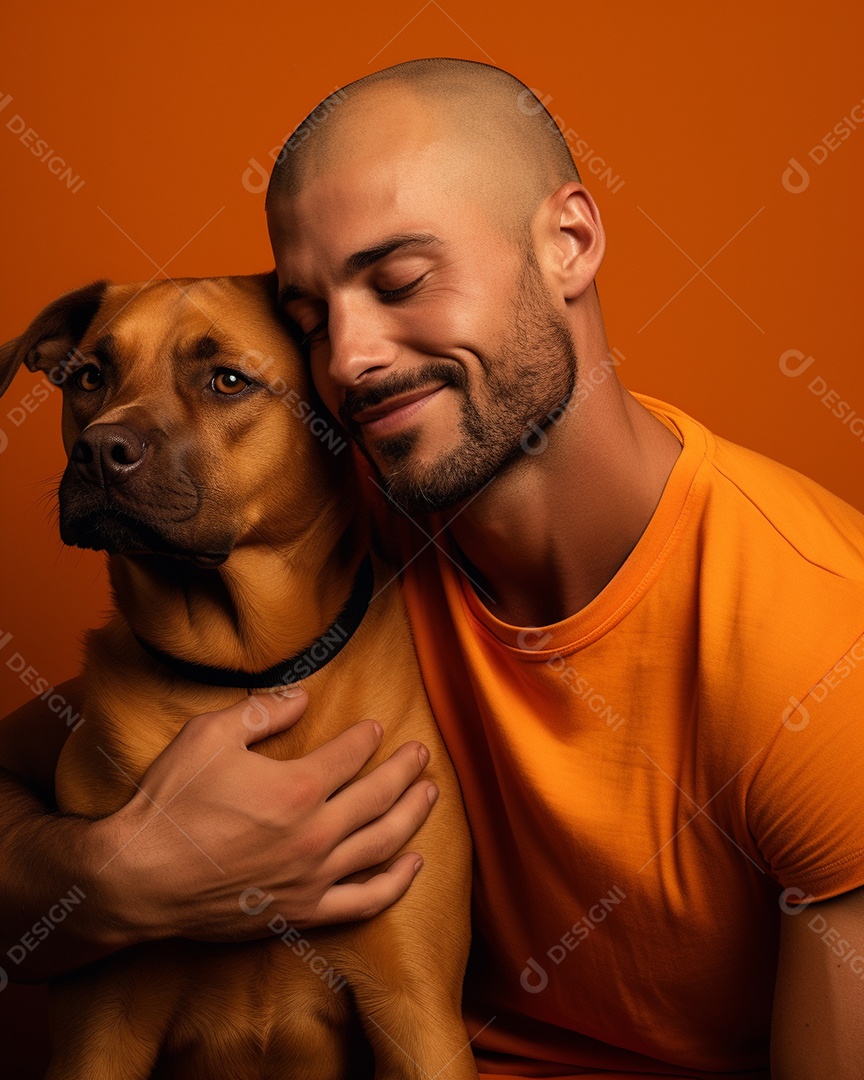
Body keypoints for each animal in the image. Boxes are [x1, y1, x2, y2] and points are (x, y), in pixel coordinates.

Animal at [0, 276, 475, 1080]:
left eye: (227, 380)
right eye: (90, 377)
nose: (99, 451)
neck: (239, 672)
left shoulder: (415, 1008)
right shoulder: (100, 1027)